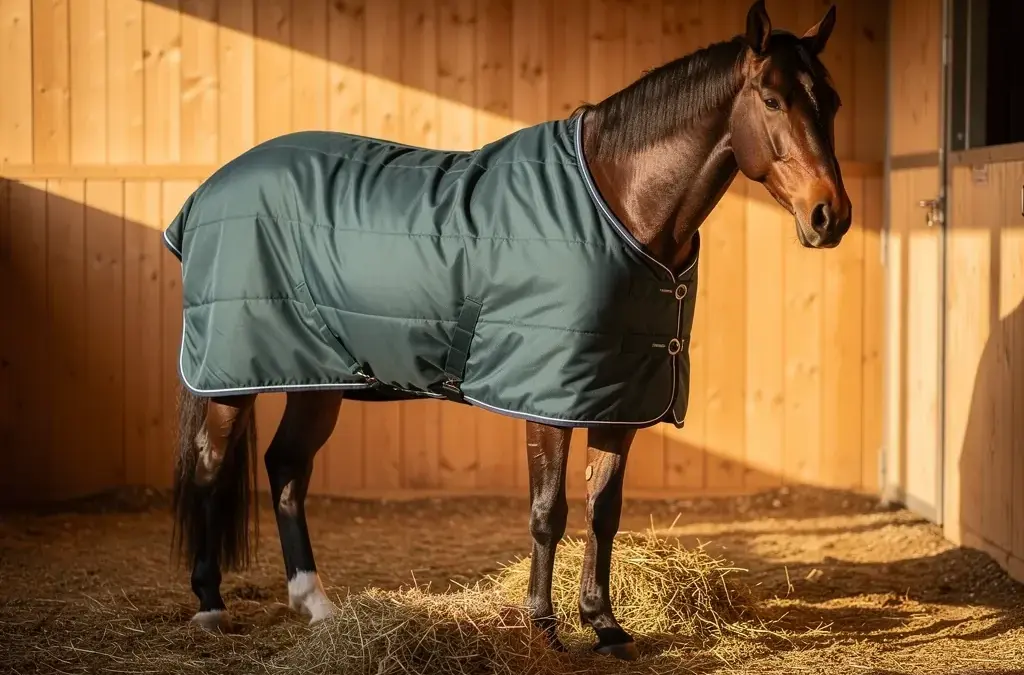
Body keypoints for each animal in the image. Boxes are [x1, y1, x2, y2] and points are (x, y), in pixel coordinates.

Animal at [164, 0, 850, 661]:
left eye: (833, 101)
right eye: (771, 100)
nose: (830, 216)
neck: (617, 203)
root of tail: (210, 189)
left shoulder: (617, 398)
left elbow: (604, 512)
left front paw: (604, 625)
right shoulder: (546, 401)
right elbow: (548, 513)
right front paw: (542, 628)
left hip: (317, 378)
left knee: (286, 468)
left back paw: (315, 604)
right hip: (230, 380)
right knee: (210, 469)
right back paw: (210, 607)